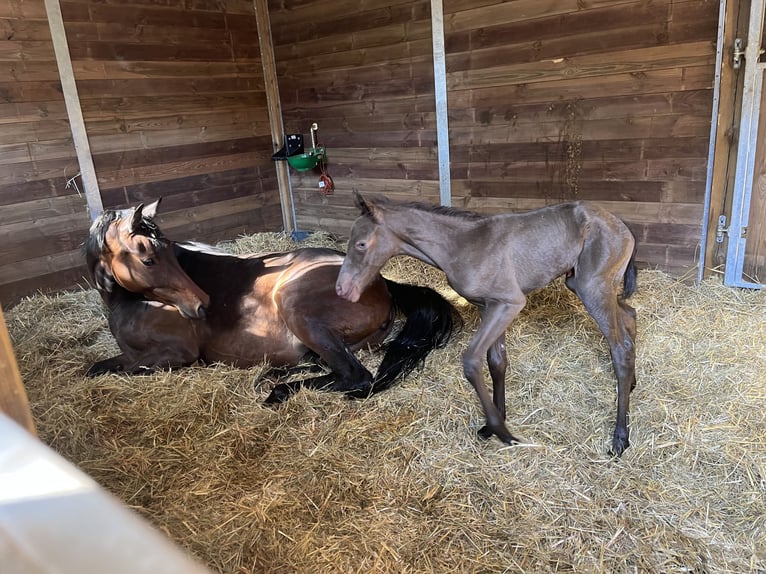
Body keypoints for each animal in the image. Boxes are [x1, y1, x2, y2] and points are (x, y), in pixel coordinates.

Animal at [85, 199, 456, 403]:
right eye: (149, 259)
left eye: (171, 251)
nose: (202, 303)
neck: (129, 302)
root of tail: (383, 284)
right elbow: (94, 368)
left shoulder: (176, 354)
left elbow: (120, 370)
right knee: (325, 365)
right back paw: (272, 375)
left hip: (295, 306)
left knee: (354, 375)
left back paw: (278, 391)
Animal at [336, 192, 638, 456]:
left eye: (361, 244)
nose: (342, 289)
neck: (461, 245)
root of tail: (621, 225)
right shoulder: (488, 306)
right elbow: (497, 362)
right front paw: (496, 422)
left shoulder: (509, 303)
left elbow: (472, 361)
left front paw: (502, 431)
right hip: (582, 283)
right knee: (629, 315)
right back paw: (632, 384)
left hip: (592, 287)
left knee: (620, 346)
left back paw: (620, 437)